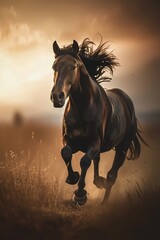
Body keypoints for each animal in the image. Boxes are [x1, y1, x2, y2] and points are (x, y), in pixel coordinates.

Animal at [50, 38, 145, 203]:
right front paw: (72, 178)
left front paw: (80, 195)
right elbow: (66, 153)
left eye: (74, 66)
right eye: (54, 66)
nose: (57, 97)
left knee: (112, 175)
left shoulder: (94, 143)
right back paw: (98, 181)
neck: (82, 107)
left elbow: (84, 161)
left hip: (122, 147)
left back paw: (104, 202)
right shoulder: (69, 140)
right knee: (98, 161)